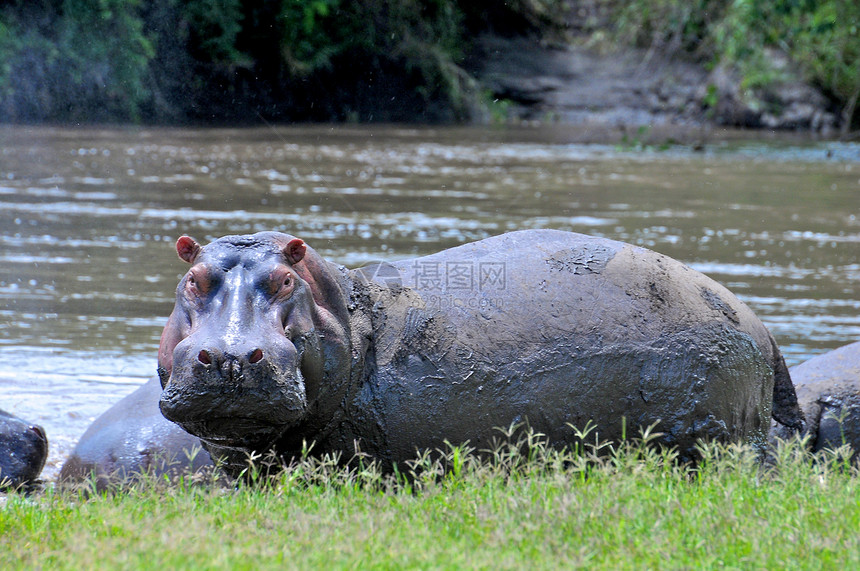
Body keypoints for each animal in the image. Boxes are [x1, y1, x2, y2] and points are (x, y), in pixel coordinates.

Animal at [151, 228, 804, 474]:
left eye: (286, 280)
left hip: (730, 440)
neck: (352, 319)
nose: (230, 356)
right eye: (194, 279)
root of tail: (760, 325)